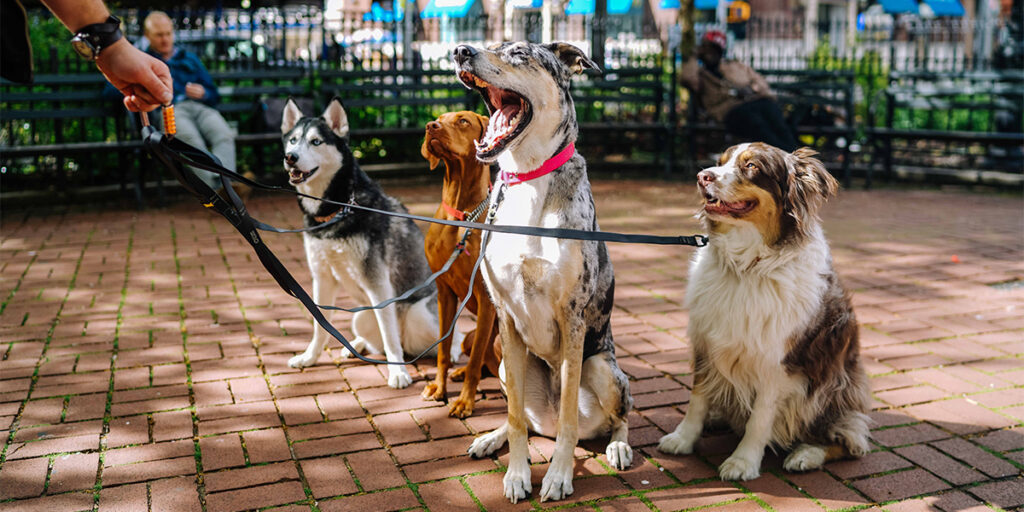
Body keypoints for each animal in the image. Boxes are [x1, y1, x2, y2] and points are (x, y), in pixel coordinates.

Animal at [276, 97, 460, 387]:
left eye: (316, 141)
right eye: (293, 140)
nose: (290, 157)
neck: (338, 208)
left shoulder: (378, 282)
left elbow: (388, 332)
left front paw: (398, 373)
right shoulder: (322, 277)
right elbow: (319, 326)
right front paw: (310, 357)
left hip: (419, 315)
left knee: (451, 335)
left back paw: (447, 352)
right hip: (361, 317)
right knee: (380, 341)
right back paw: (358, 345)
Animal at [419, 111, 499, 415]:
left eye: (463, 120)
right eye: (438, 118)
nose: (430, 127)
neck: (461, 214)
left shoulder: (486, 298)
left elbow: (476, 360)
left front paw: (465, 401)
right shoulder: (444, 292)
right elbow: (443, 350)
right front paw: (439, 388)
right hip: (468, 337)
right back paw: (459, 373)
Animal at [454, 43, 630, 503]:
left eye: (518, 52)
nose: (461, 50)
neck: (528, 177)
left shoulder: (572, 318)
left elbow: (568, 418)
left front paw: (558, 476)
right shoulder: (505, 317)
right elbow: (516, 418)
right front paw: (517, 474)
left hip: (604, 369)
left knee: (617, 418)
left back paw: (619, 447)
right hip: (502, 364)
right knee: (527, 420)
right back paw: (490, 438)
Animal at [655, 143, 872, 479]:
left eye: (752, 166)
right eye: (720, 162)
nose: (703, 176)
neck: (747, 266)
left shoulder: (777, 364)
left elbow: (760, 418)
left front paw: (743, 461)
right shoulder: (706, 342)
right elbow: (697, 398)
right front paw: (683, 438)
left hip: (833, 387)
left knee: (851, 440)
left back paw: (807, 454)